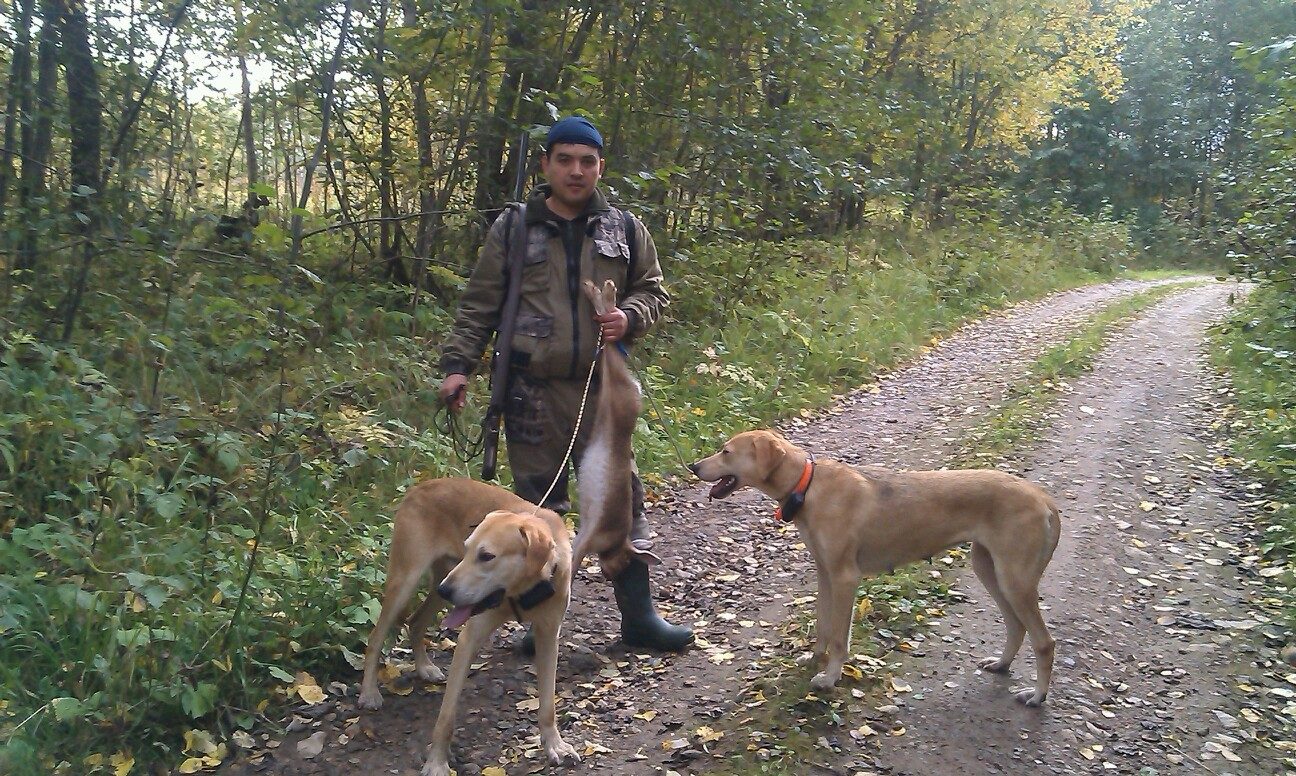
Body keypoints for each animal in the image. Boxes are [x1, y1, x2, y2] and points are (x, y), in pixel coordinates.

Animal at [358, 477, 534, 709]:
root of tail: (419, 488)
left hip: (446, 586)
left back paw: (425, 668)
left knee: (416, 622)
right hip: (406, 581)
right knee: (376, 637)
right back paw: (369, 693)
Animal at [424, 507, 579, 775]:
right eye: (467, 549)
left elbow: (548, 706)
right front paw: (436, 761)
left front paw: (554, 745)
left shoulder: (549, 637)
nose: (445, 590)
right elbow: (446, 716)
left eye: (486, 556)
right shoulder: (468, 640)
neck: (520, 592)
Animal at [571, 279, 661, 578]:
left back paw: (595, 290)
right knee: (610, 339)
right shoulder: (588, 536)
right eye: (625, 562)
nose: (611, 573)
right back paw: (605, 292)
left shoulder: (584, 533)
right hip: (623, 393)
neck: (617, 542)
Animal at [692, 430, 1061, 706]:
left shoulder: (845, 578)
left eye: (726, 452)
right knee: (1016, 626)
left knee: (1044, 641)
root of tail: (1044, 499)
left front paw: (830, 677)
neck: (807, 486)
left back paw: (1037, 695)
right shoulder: (824, 574)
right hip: (988, 568)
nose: (694, 466)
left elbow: (839, 637)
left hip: (1015, 579)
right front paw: (814, 659)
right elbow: (823, 626)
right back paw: (1001, 664)